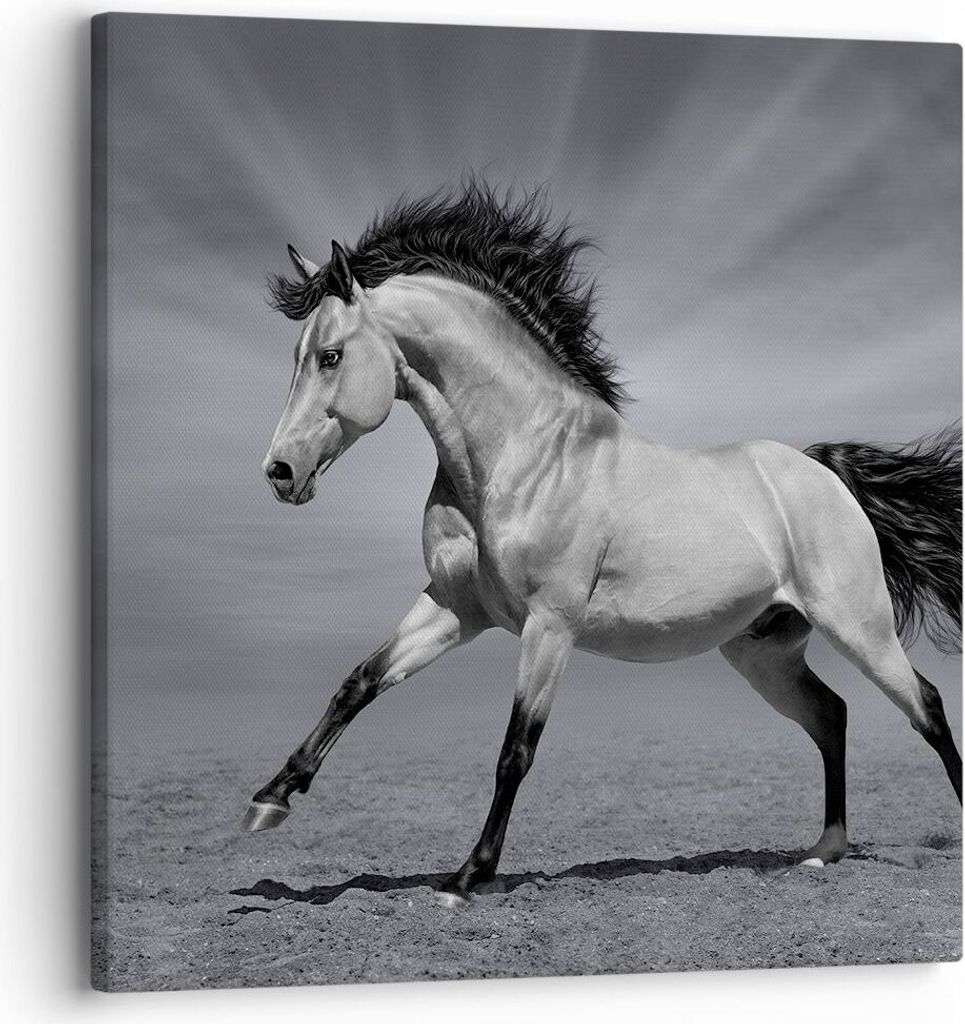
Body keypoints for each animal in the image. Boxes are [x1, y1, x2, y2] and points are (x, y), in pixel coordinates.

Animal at [243, 183, 962, 907]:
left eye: (330, 355)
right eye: (298, 356)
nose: (280, 473)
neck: (520, 458)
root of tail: (823, 474)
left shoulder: (549, 626)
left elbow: (515, 751)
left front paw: (467, 877)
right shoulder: (455, 608)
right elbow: (358, 683)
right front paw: (270, 799)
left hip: (858, 626)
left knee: (925, 706)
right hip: (763, 652)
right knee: (831, 715)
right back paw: (821, 852)